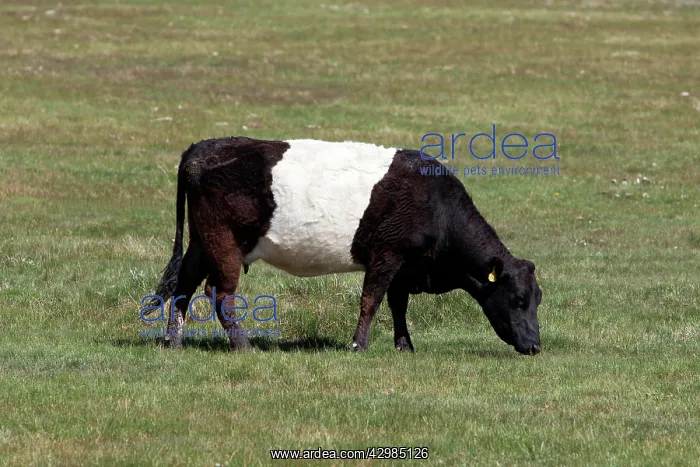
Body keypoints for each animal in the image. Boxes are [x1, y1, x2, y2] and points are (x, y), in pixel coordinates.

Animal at [149, 136, 542, 355]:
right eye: (519, 300)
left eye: (537, 299)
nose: (536, 346)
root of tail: (203, 147)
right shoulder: (386, 254)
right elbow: (372, 300)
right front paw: (359, 345)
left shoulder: (405, 266)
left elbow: (397, 304)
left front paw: (404, 346)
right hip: (223, 242)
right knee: (219, 293)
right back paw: (243, 346)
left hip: (201, 243)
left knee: (184, 284)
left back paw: (173, 340)